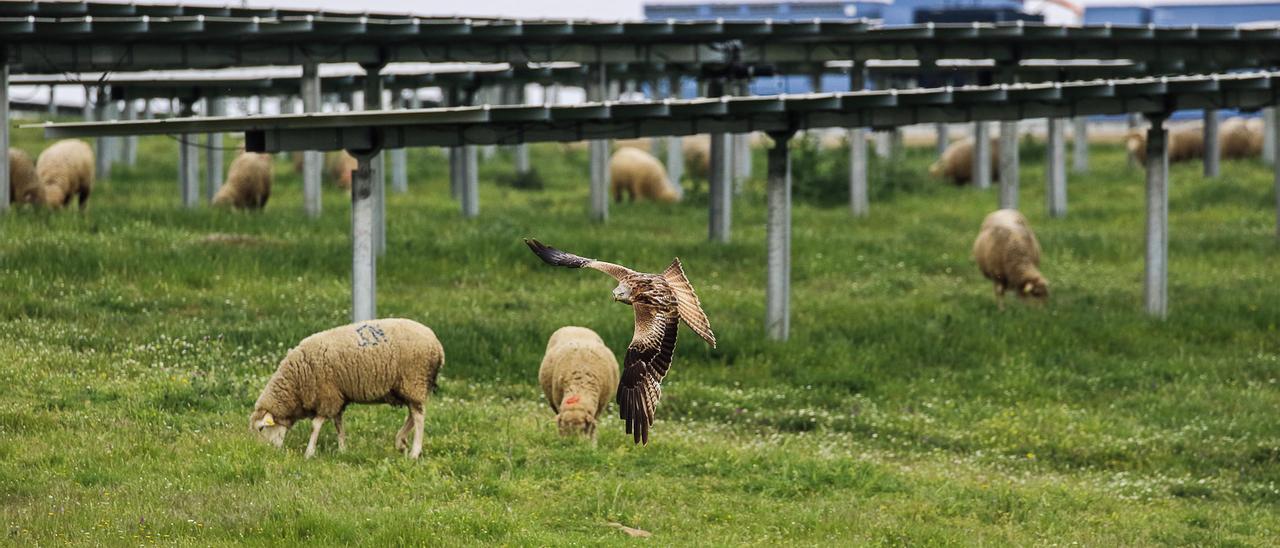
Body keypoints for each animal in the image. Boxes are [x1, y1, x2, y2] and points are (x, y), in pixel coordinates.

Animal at [248, 316, 445, 458]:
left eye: (261, 428)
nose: (261, 453)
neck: (296, 382)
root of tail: (437, 344)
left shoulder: (327, 395)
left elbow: (315, 425)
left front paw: (309, 453)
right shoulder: (337, 396)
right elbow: (338, 423)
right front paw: (342, 449)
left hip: (414, 380)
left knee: (419, 417)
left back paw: (414, 452)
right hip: (408, 386)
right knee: (413, 413)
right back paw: (401, 442)